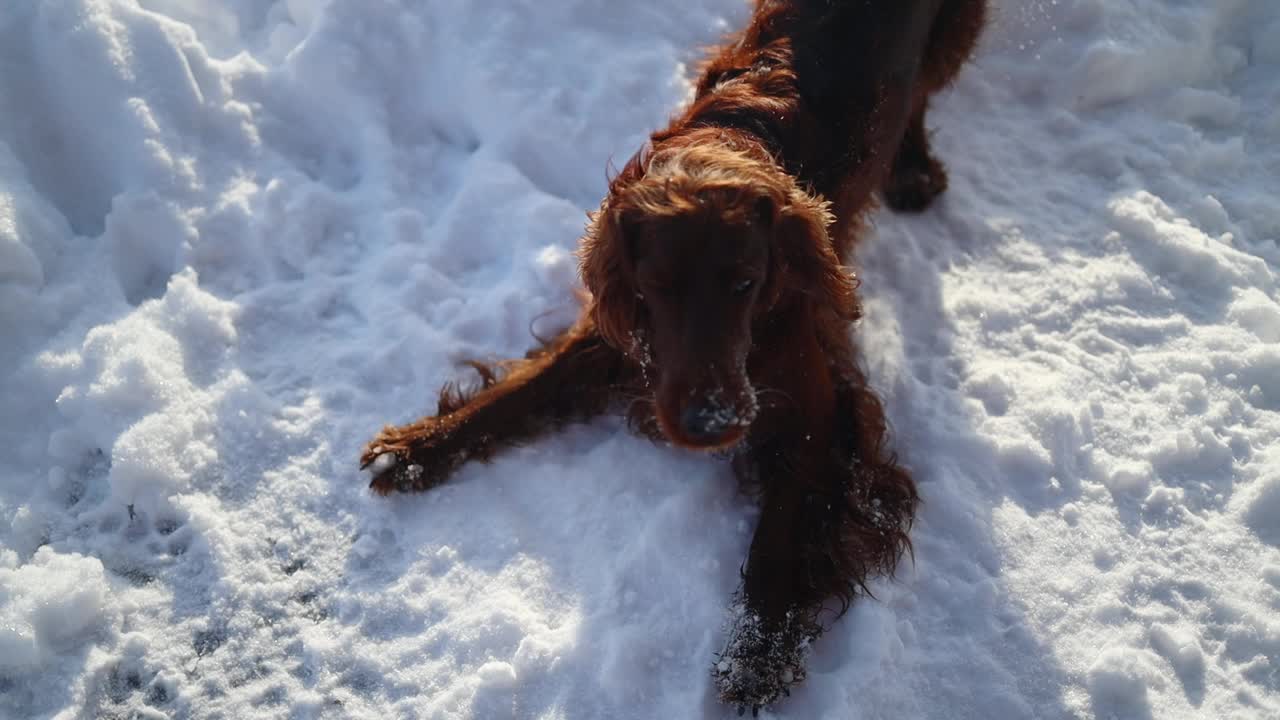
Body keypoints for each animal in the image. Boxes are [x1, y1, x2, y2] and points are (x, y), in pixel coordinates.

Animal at [366, 0, 983, 707]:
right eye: (657, 285)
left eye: (745, 282)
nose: (709, 423)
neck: (736, 142)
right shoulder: (617, 339)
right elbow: (517, 393)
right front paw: (416, 447)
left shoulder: (821, 406)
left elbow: (778, 536)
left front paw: (756, 651)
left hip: (954, 32)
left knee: (922, 96)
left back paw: (913, 169)